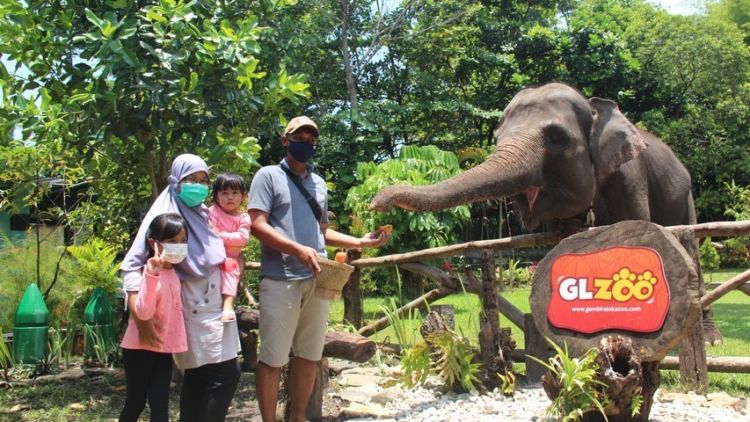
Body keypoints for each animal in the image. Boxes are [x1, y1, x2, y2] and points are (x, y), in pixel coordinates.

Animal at [374, 82, 724, 346]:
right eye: (497, 138)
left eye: (556, 138)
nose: (377, 203)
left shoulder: (629, 176)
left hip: (685, 196)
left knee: (692, 252)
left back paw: (710, 340)